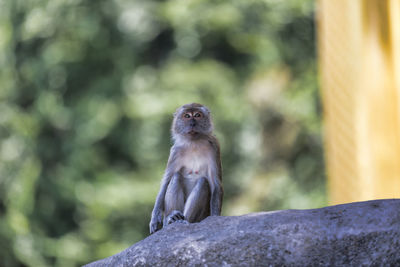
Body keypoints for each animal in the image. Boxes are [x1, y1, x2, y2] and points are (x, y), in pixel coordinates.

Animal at [150, 103, 223, 234]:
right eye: (187, 116)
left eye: (198, 115)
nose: (192, 123)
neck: (194, 143)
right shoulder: (175, 151)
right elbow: (166, 181)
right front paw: (154, 218)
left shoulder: (214, 146)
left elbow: (216, 184)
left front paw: (215, 218)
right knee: (176, 177)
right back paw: (171, 219)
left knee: (203, 182)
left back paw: (185, 220)